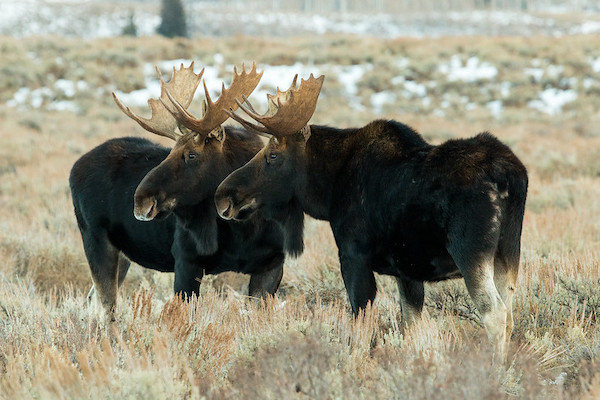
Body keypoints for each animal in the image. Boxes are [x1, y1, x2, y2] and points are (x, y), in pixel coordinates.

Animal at [70, 62, 286, 318]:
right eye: (172, 149)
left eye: (191, 154)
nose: (141, 201)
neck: (244, 229)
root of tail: (74, 168)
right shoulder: (185, 261)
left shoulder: (272, 264)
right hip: (95, 239)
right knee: (105, 309)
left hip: (122, 254)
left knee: (93, 301)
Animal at [213, 75, 528, 360]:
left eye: (273, 155)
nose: (223, 196)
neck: (329, 190)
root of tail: (511, 175)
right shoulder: (407, 272)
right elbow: (410, 326)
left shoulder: (353, 256)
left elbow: (361, 328)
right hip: (508, 254)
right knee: (510, 313)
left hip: (470, 253)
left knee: (495, 313)